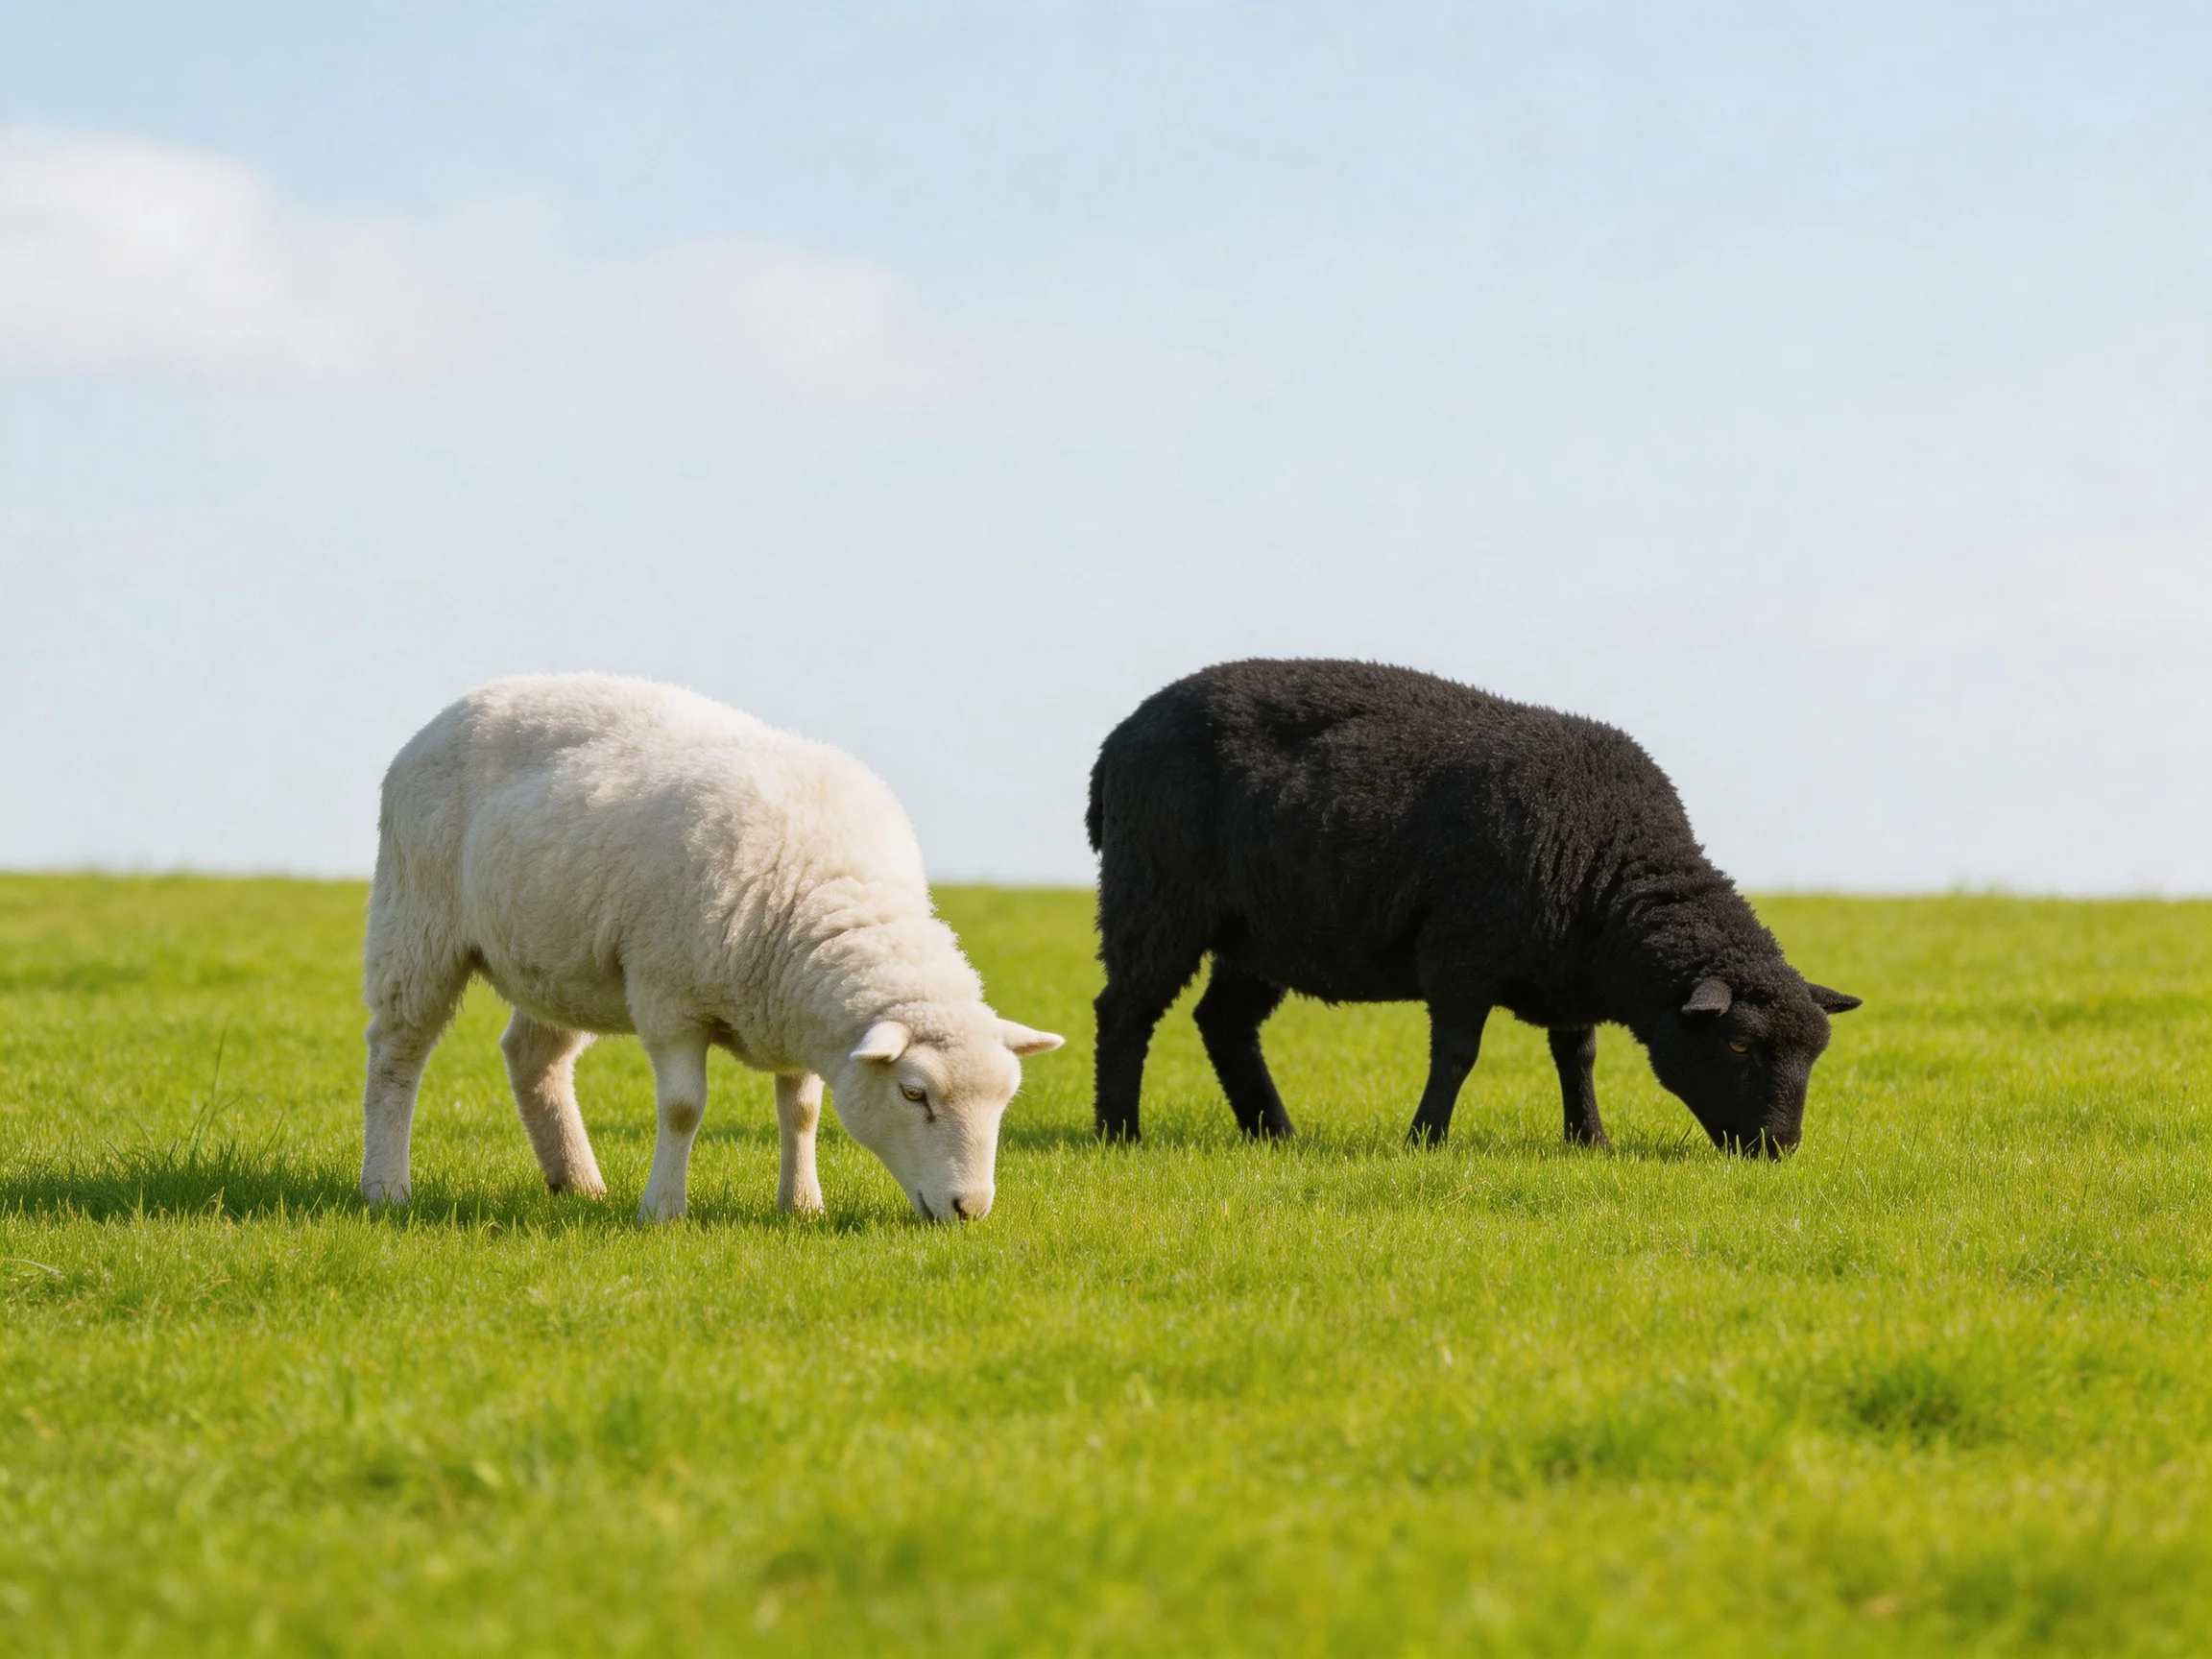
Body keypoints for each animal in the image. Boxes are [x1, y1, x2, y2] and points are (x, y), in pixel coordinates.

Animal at [360, 673, 1062, 1223]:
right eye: (914, 1094)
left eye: (1005, 1100)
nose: (969, 1209)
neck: (829, 885)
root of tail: (461, 706)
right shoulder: (670, 998)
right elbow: (681, 1109)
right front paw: (663, 1210)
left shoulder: (793, 1006)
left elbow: (802, 1111)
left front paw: (802, 1205)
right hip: (417, 921)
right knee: (397, 1054)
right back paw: (385, 1186)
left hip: (562, 962)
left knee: (534, 1058)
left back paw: (578, 1183)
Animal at [1087, 659, 1859, 1154]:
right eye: (1738, 1044)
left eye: (1815, 1054)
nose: (1779, 1148)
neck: (1606, 866)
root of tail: (1117, 740)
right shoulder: (1458, 955)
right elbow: (1458, 1055)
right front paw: (1425, 1140)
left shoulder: (1570, 973)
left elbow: (1577, 1055)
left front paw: (1591, 1141)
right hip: (1155, 899)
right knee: (1125, 1012)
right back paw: (1119, 1133)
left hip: (1260, 932)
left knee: (1223, 1023)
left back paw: (1273, 1134)